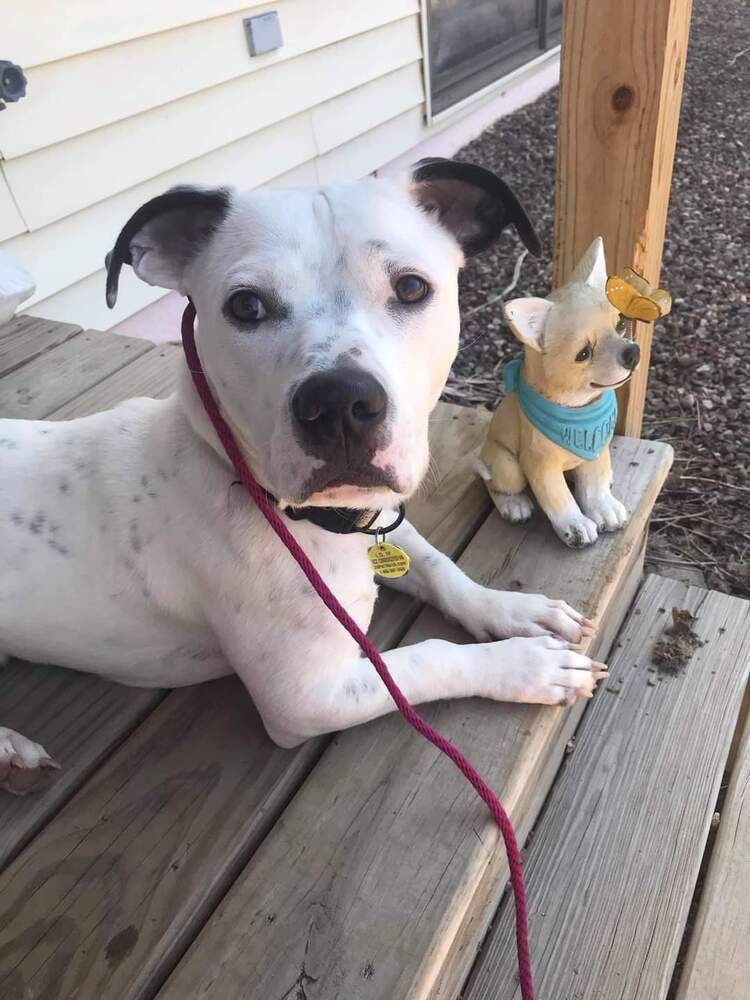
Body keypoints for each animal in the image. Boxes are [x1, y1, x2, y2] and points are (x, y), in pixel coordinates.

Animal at [0, 160, 608, 792]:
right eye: (245, 306)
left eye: (412, 288)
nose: (338, 402)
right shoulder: (308, 696)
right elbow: (427, 658)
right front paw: (525, 664)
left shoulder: (384, 525)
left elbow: (442, 569)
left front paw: (513, 613)